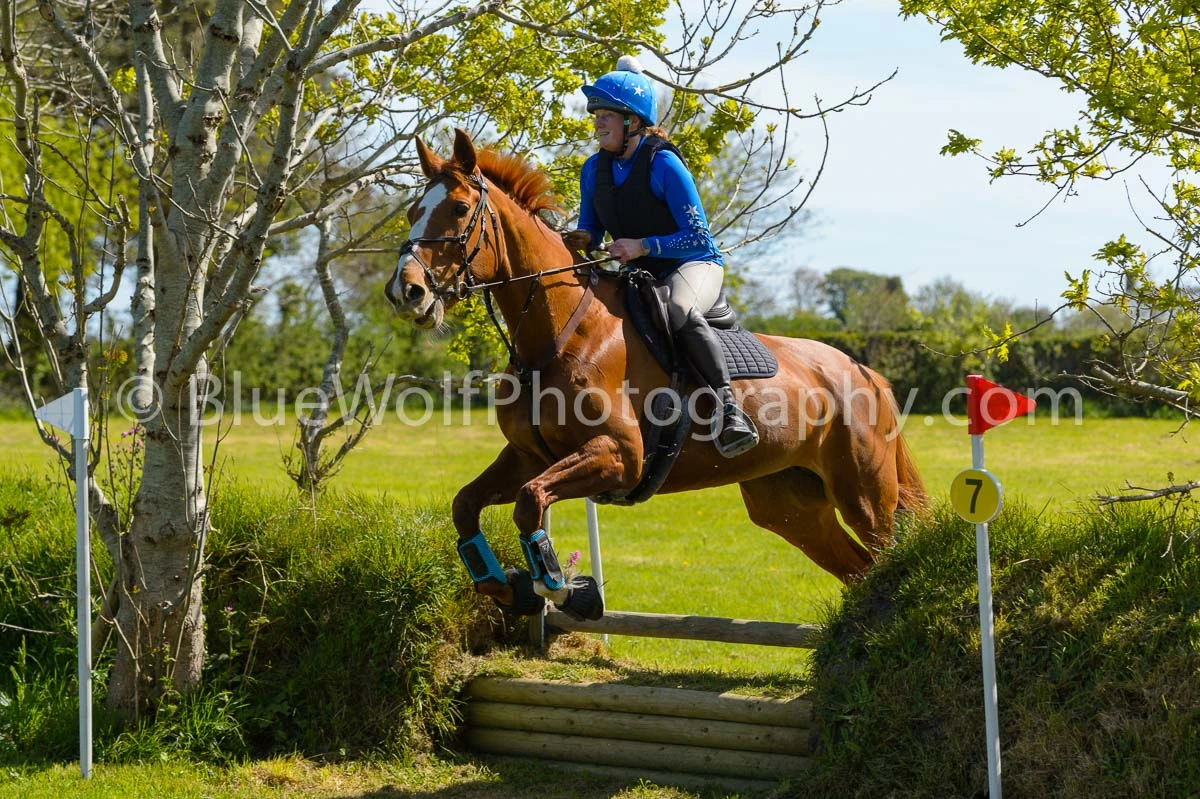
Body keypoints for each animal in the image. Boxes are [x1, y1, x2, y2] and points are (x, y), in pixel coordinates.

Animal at [384, 129, 927, 619]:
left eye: (458, 209)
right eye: (412, 213)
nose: (405, 292)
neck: (556, 337)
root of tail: (865, 373)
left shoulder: (619, 455)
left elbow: (529, 501)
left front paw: (571, 592)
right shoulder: (527, 456)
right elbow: (466, 506)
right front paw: (512, 589)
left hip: (865, 495)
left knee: (884, 554)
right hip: (789, 507)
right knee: (858, 567)